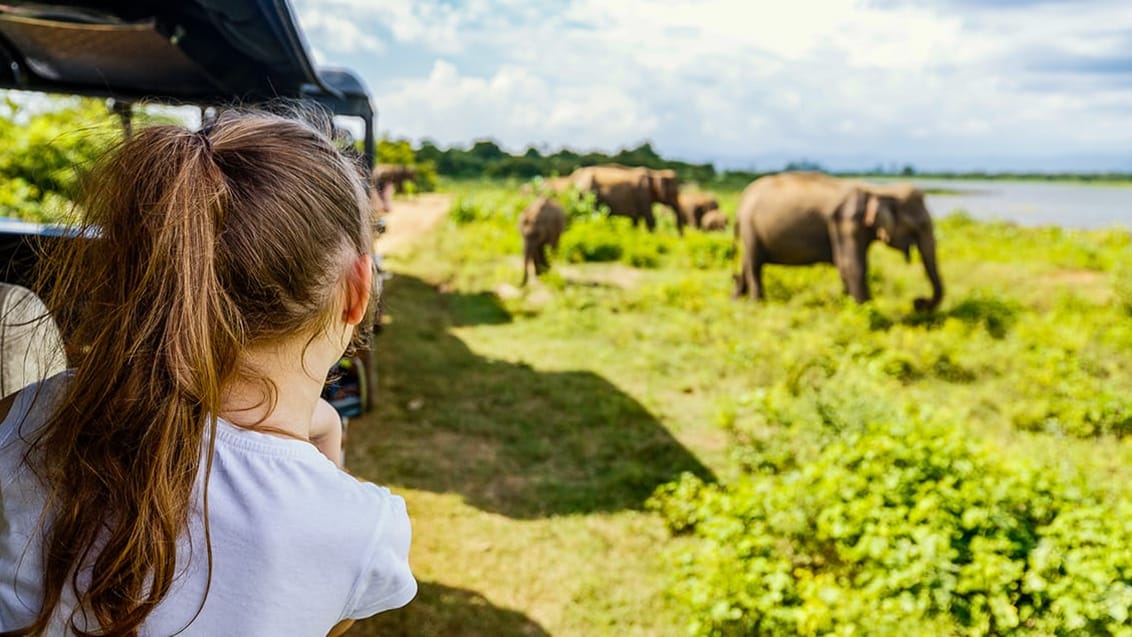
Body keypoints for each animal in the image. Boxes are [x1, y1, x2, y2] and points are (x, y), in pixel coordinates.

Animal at [729, 168, 941, 310]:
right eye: (919, 226)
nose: (918, 302)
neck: (877, 190)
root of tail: (742, 200)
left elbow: (849, 266)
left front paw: (847, 303)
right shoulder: (845, 223)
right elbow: (851, 265)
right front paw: (865, 310)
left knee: (748, 261)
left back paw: (737, 299)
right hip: (750, 227)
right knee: (755, 264)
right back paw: (756, 303)